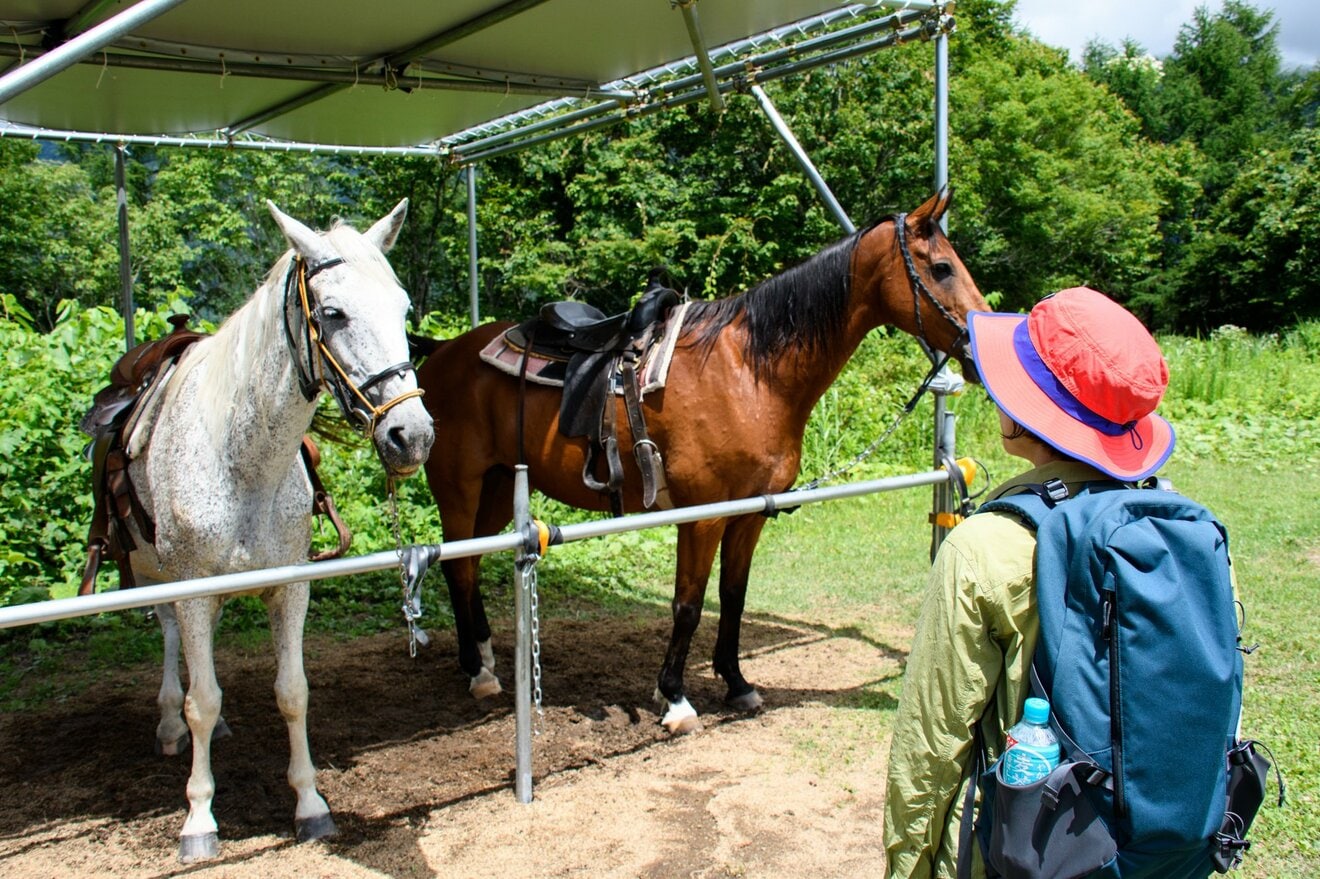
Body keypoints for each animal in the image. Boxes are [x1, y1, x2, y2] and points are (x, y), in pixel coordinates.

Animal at [121, 200, 434, 862]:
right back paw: (168, 723)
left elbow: (292, 691)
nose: (412, 436)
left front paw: (311, 805)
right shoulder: (190, 589)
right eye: (334, 314)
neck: (241, 462)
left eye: (402, 310)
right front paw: (199, 819)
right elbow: (203, 699)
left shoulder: (291, 588)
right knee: (171, 643)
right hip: (152, 572)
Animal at [415, 189, 985, 733]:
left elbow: (732, 595)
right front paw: (674, 698)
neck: (750, 371)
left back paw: (484, 656)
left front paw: (736, 682)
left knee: (467, 562)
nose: (979, 352)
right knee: (458, 568)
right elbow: (688, 605)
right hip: (460, 487)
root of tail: (440, 351)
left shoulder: (751, 512)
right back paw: (478, 672)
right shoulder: (702, 516)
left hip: (494, 489)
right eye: (941, 268)